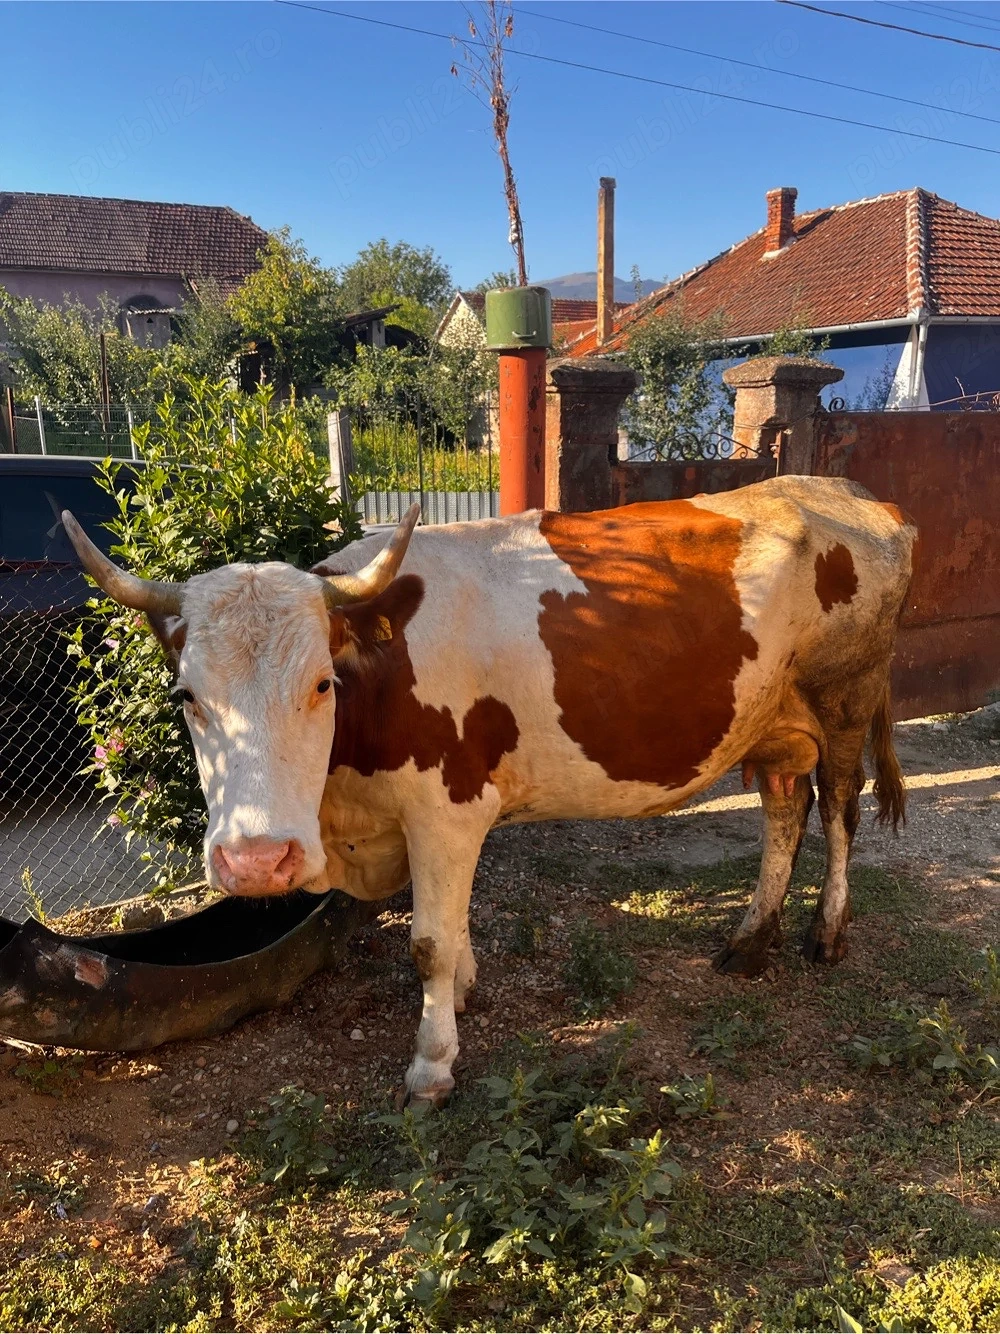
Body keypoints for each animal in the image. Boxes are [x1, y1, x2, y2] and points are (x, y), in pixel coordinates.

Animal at [63, 474, 915, 1105]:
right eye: (186, 695)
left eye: (322, 683)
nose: (257, 861)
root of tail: (849, 495)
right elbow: (457, 925)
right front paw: (465, 993)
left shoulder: (446, 809)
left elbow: (430, 943)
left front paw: (432, 1065)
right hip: (774, 726)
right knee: (785, 811)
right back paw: (749, 940)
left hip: (844, 702)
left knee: (840, 814)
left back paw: (826, 934)